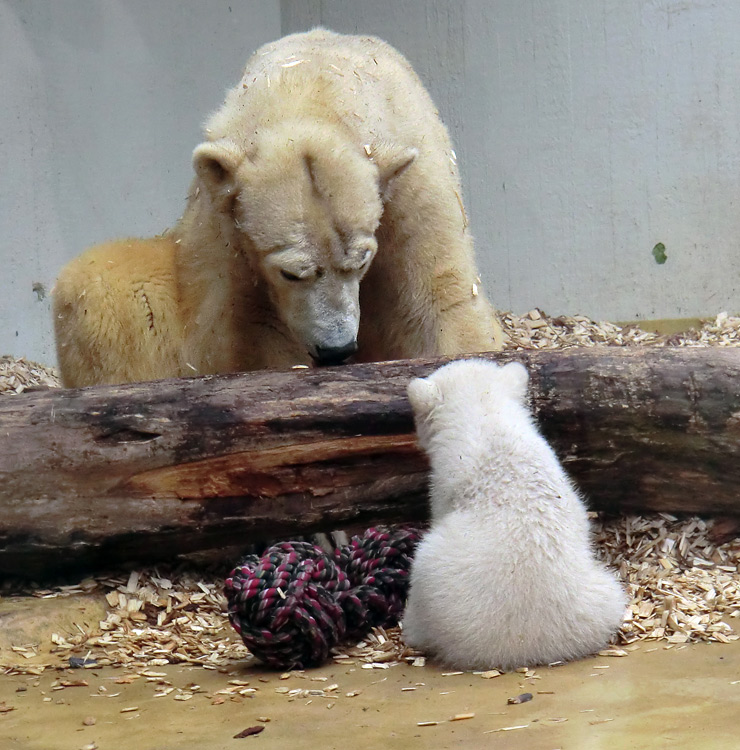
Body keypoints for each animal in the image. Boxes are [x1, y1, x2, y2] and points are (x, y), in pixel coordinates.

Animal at [53, 29, 502, 388]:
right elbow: (255, 332)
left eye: (361, 261)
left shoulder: (413, 183)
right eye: (291, 272)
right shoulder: (230, 231)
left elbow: (439, 293)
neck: (310, 88)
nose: (337, 349)